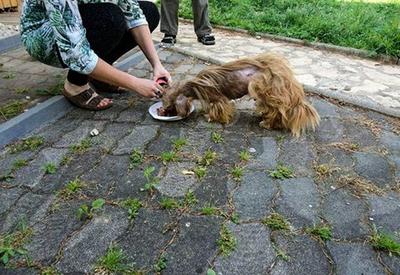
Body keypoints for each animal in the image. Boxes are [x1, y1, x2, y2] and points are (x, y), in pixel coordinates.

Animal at [161, 52, 320, 137]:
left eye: (168, 106)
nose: (161, 111)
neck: (193, 86)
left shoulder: (217, 98)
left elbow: (217, 109)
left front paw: (210, 117)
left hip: (262, 90)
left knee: (276, 111)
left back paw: (267, 123)